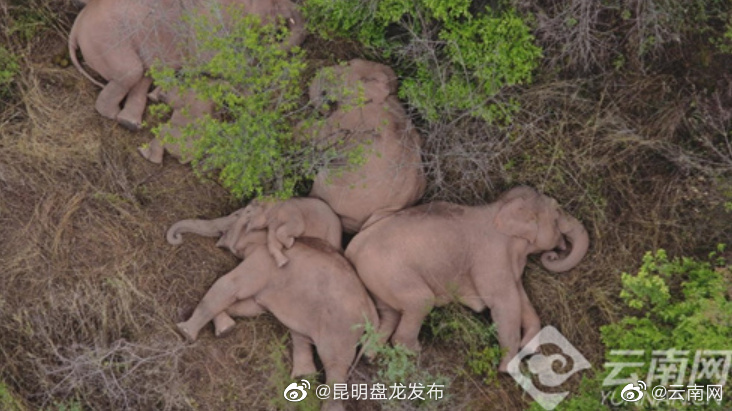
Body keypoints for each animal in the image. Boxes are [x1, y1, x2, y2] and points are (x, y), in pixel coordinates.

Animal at [68, 0, 306, 130]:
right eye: (275, 4)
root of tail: (75, 27)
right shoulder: (207, 26)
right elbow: (218, 63)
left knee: (144, 74)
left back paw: (130, 123)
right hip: (108, 40)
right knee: (132, 72)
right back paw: (113, 115)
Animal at [167, 197, 342, 264]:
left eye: (241, 213)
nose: (178, 237)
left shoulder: (291, 212)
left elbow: (297, 226)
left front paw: (291, 243)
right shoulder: (271, 223)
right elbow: (271, 240)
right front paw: (283, 262)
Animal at [175, 230, 378, 411]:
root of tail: (372, 310)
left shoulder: (263, 261)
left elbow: (230, 286)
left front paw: (184, 332)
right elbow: (249, 307)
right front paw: (225, 329)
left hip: (341, 328)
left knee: (334, 362)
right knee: (301, 335)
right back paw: (303, 377)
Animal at [344, 186, 590, 372]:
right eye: (557, 212)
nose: (554, 253)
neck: (500, 207)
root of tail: (352, 248)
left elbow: (522, 300)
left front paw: (528, 347)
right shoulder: (492, 257)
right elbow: (504, 303)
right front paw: (508, 370)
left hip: (377, 280)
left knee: (389, 315)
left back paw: (369, 357)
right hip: (389, 271)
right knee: (420, 302)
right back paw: (415, 354)